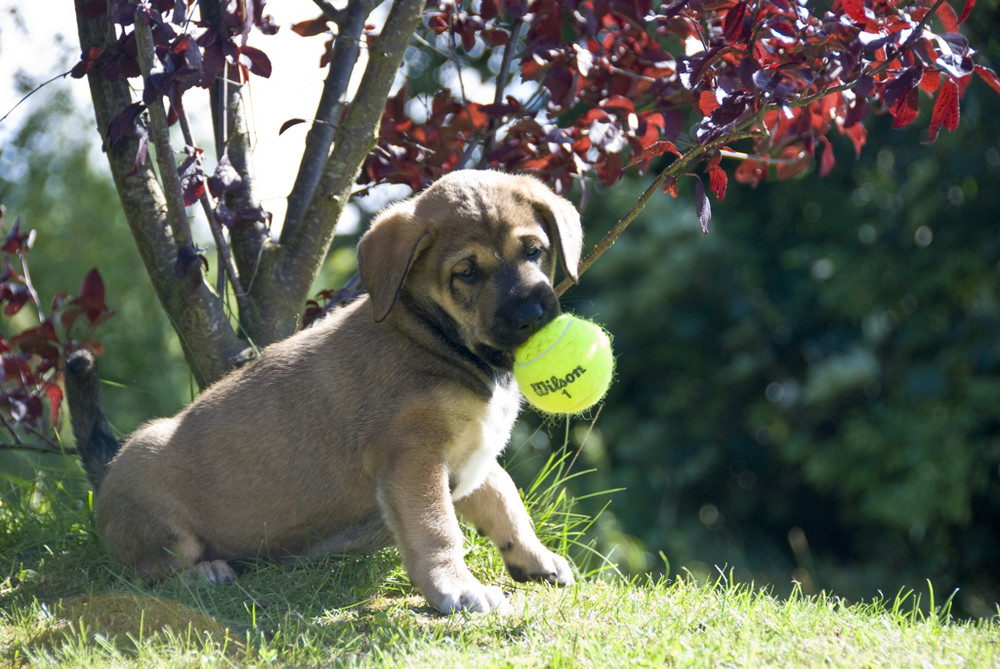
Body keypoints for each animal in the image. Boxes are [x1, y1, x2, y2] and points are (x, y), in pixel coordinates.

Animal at [64, 170, 584, 612]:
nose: (533, 314)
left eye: (533, 251)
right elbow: (438, 531)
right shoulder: (413, 460)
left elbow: (505, 501)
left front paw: (534, 558)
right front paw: (456, 589)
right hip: (163, 518)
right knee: (148, 572)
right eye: (468, 273)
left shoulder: (468, 457)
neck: (432, 336)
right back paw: (205, 573)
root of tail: (106, 470)